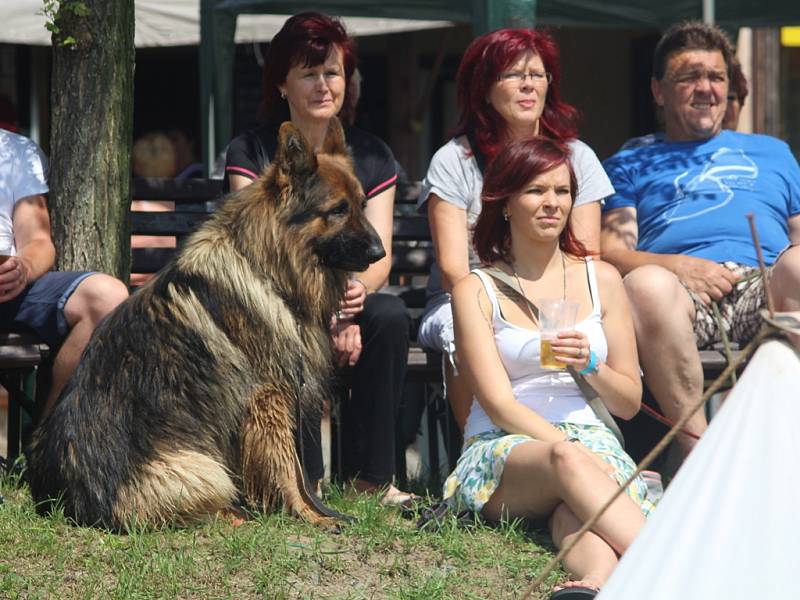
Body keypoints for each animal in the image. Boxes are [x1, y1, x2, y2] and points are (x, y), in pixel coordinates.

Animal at [28, 118, 384, 528]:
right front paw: (309, 515)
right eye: (338, 209)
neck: (265, 268)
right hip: (202, 466)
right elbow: (286, 466)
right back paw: (236, 515)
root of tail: (74, 503)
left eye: (362, 205)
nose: (381, 252)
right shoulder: (270, 399)